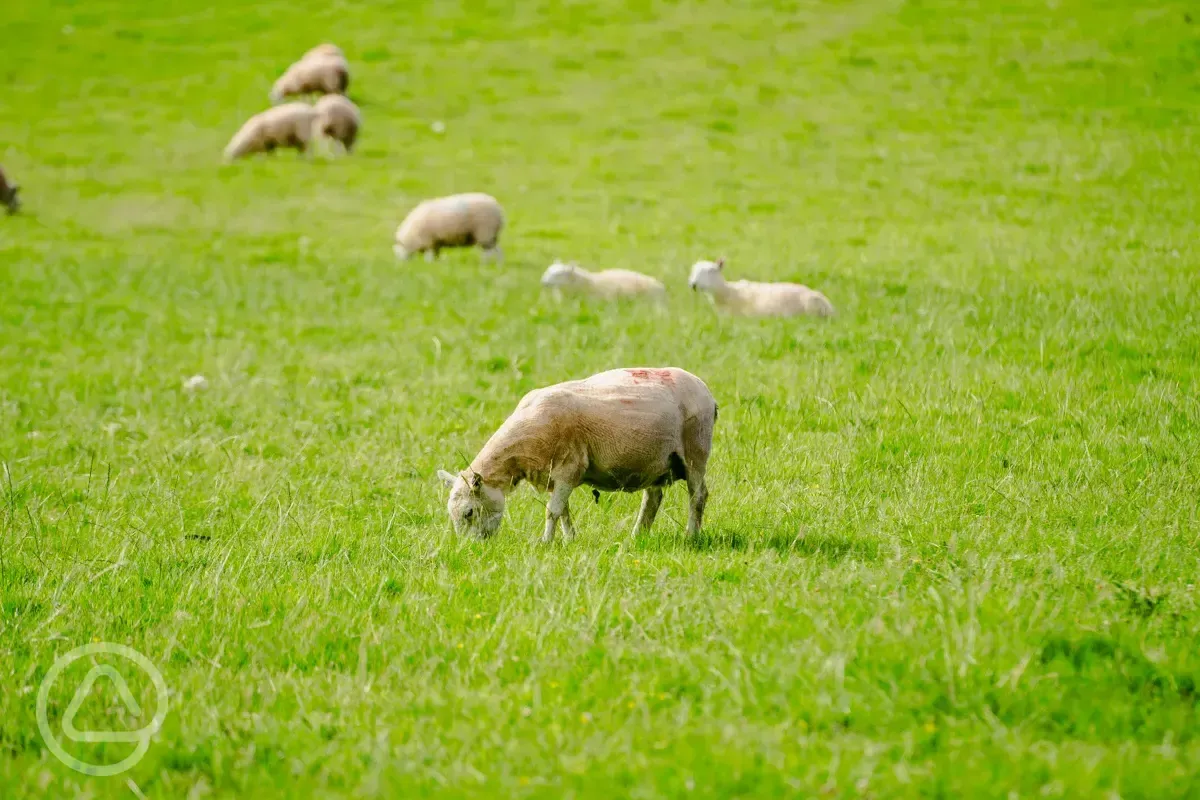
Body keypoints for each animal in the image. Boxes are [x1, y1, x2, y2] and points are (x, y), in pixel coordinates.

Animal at [444, 367, 715, 544]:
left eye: (469, 513)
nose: (470, 549)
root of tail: (706, 391)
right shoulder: (553, 476)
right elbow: (562, 510)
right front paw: (569, 539)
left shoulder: (569, 468)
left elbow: (552, 510)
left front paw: (546, 542)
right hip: (655, 461)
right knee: (653, 499)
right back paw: (637, 535)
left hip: (695, 452)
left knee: (698, 496)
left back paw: (691, 536)